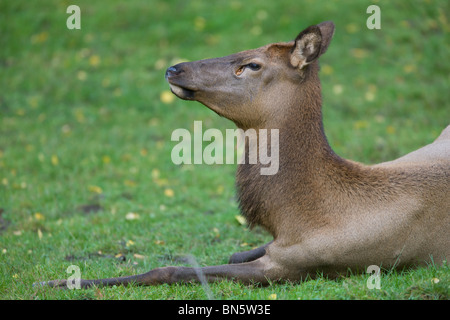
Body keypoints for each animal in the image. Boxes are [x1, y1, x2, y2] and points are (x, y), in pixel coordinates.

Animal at [40, 21, 448, 288]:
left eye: (251, 64)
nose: (174, 67)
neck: (297, 217)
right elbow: (230, 254)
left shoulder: (292, 265)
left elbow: (170, 271)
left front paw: (59, 283)